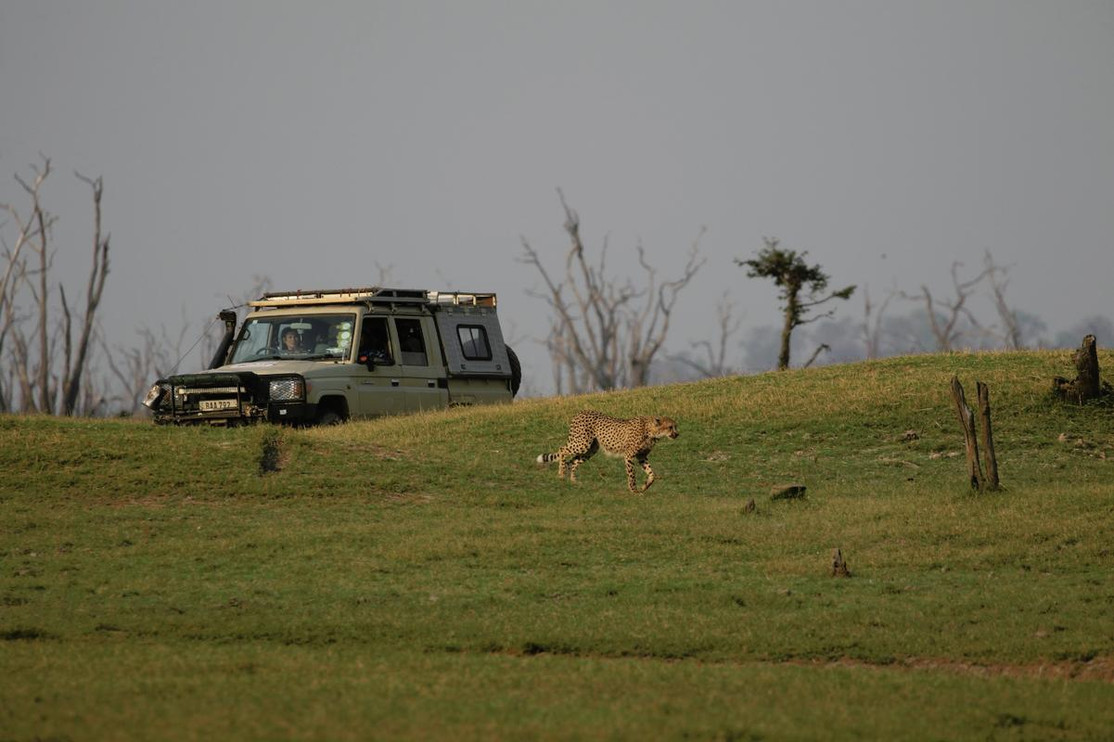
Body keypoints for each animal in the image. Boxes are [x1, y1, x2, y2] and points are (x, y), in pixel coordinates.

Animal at [536, 410, 679, 493]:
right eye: (670, 427)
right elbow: (632, 475)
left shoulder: (641, 456)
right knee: (562, 450)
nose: (677, 434)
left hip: (591, 449)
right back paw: (561, 474)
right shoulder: (629, 455)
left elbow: (652, 474)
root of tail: (579, 413)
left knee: (573, 461)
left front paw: (645, 487)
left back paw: (574, 481)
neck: (651, 431)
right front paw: (633, 489)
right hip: (582, 443)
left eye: (675, 426)